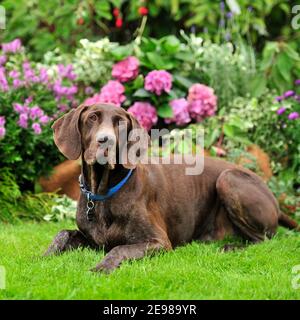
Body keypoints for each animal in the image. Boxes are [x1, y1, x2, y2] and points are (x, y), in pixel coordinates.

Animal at [44, 104, 298, 274]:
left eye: (120, 122)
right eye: (92, 118)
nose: (105, 141)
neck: (103, 193)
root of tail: (275, 200)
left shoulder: (158, 242)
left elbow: (119, 249)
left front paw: (102, 266)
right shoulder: (89, 238)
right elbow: (62, 233)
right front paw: (43, 256)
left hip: (228, 178)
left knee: (264, 240)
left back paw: (230, 247)